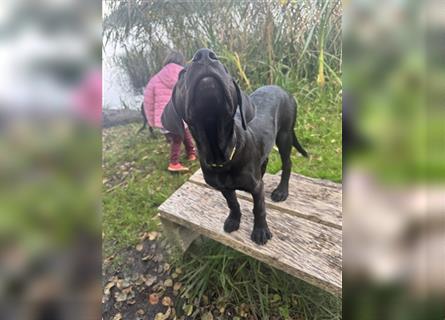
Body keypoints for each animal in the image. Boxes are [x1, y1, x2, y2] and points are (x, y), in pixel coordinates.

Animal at [161, 48, 306, 245]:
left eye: (225, 69)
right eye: (182, 74)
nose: (204, 55)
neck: (221, 154)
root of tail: (283, 89)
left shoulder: (256, 188)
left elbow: (259, 208)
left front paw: (260, 231)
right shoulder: (223, 187)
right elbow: (233, 203)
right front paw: (233, 220)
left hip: (284, 135)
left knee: (287, 163)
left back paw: (282, 191)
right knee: (265, 159)